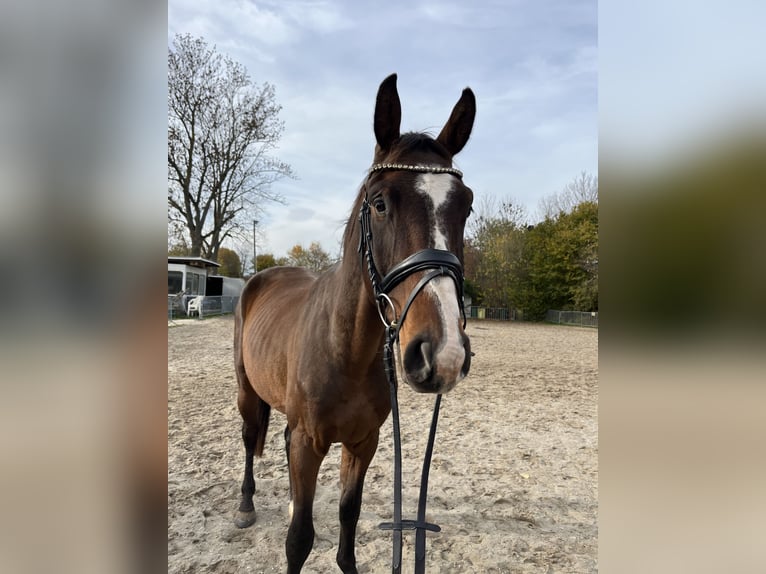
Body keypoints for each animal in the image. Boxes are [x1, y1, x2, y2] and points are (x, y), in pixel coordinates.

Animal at [233, 73, 476, 573]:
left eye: (466, 206)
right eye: (380, 203)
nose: (443, 353)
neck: (345, 349)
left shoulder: (363, 442)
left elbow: (349, 514)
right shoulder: (309, 443)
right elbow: (299, 540)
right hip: (247, 390)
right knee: (249, 439)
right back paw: (246, 506)